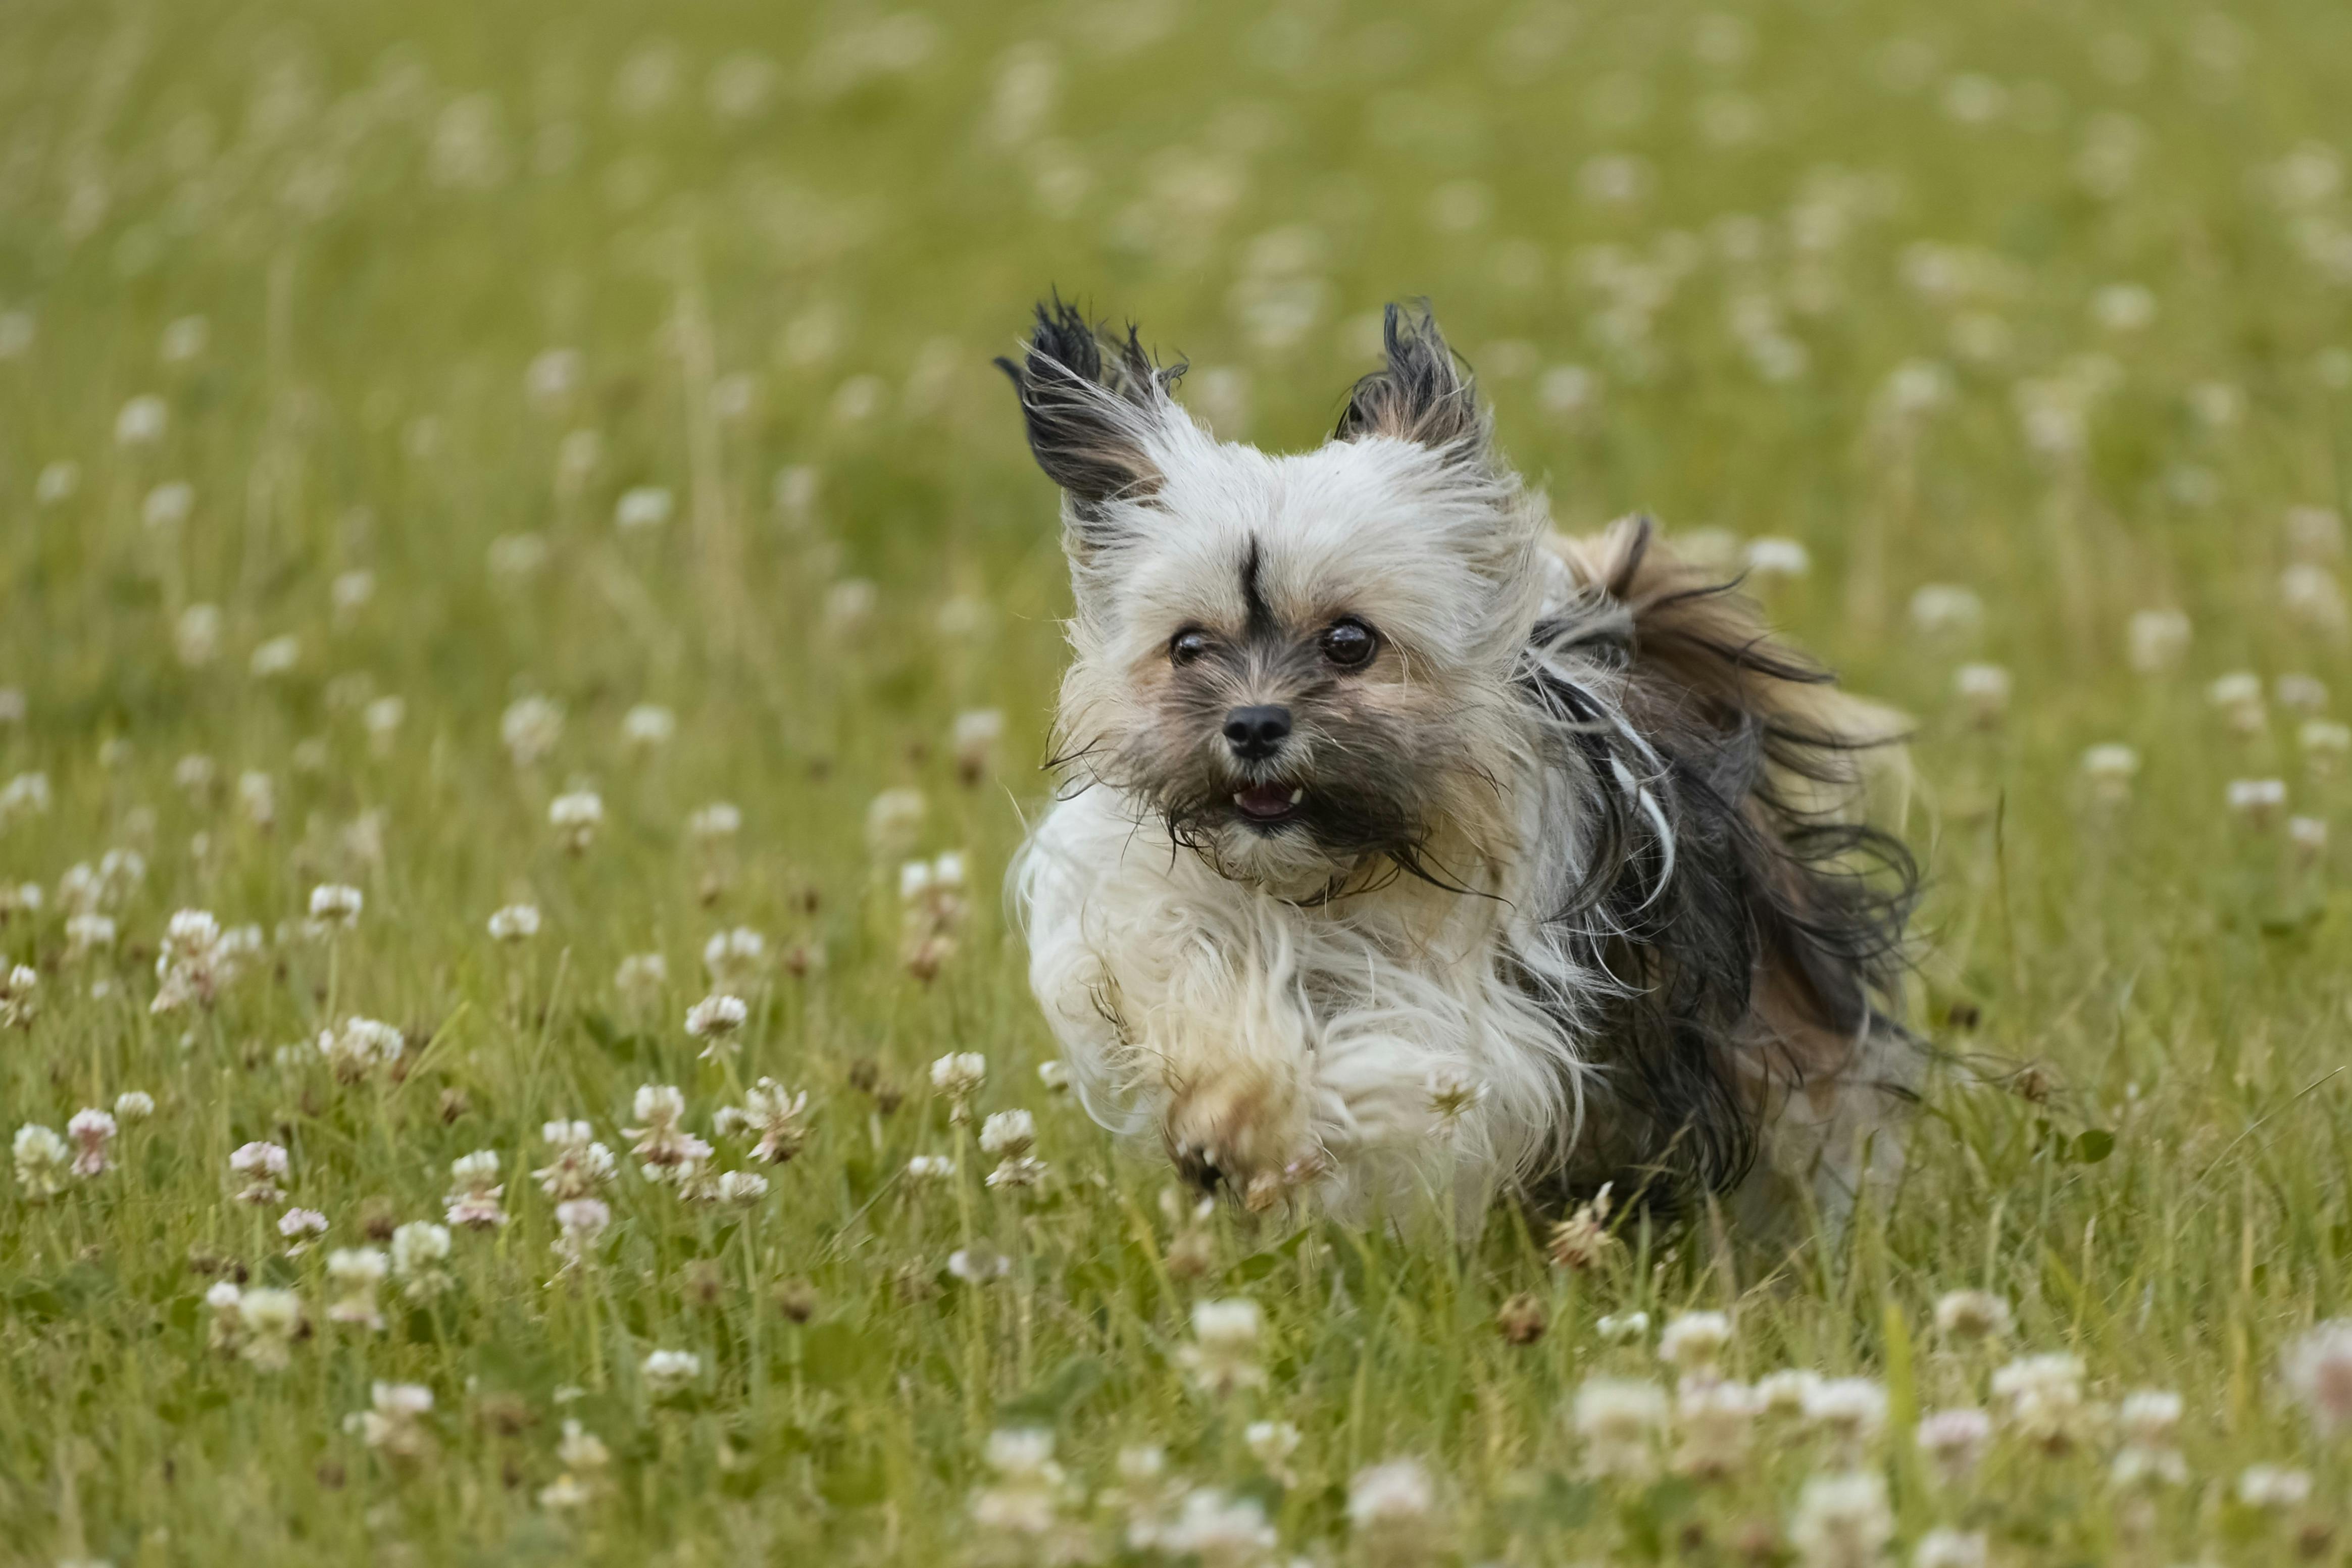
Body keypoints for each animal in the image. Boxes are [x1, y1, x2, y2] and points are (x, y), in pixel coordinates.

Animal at [992, 300, 1910, 1232]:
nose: (1251, 724)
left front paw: (1260, 1122)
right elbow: (1186, 976)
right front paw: (1230, 1102)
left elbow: (1398, 1063)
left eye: (1349, 640)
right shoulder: (1152, 907)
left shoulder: (1490, 1012)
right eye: (1186, 646)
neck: (1331, 879)